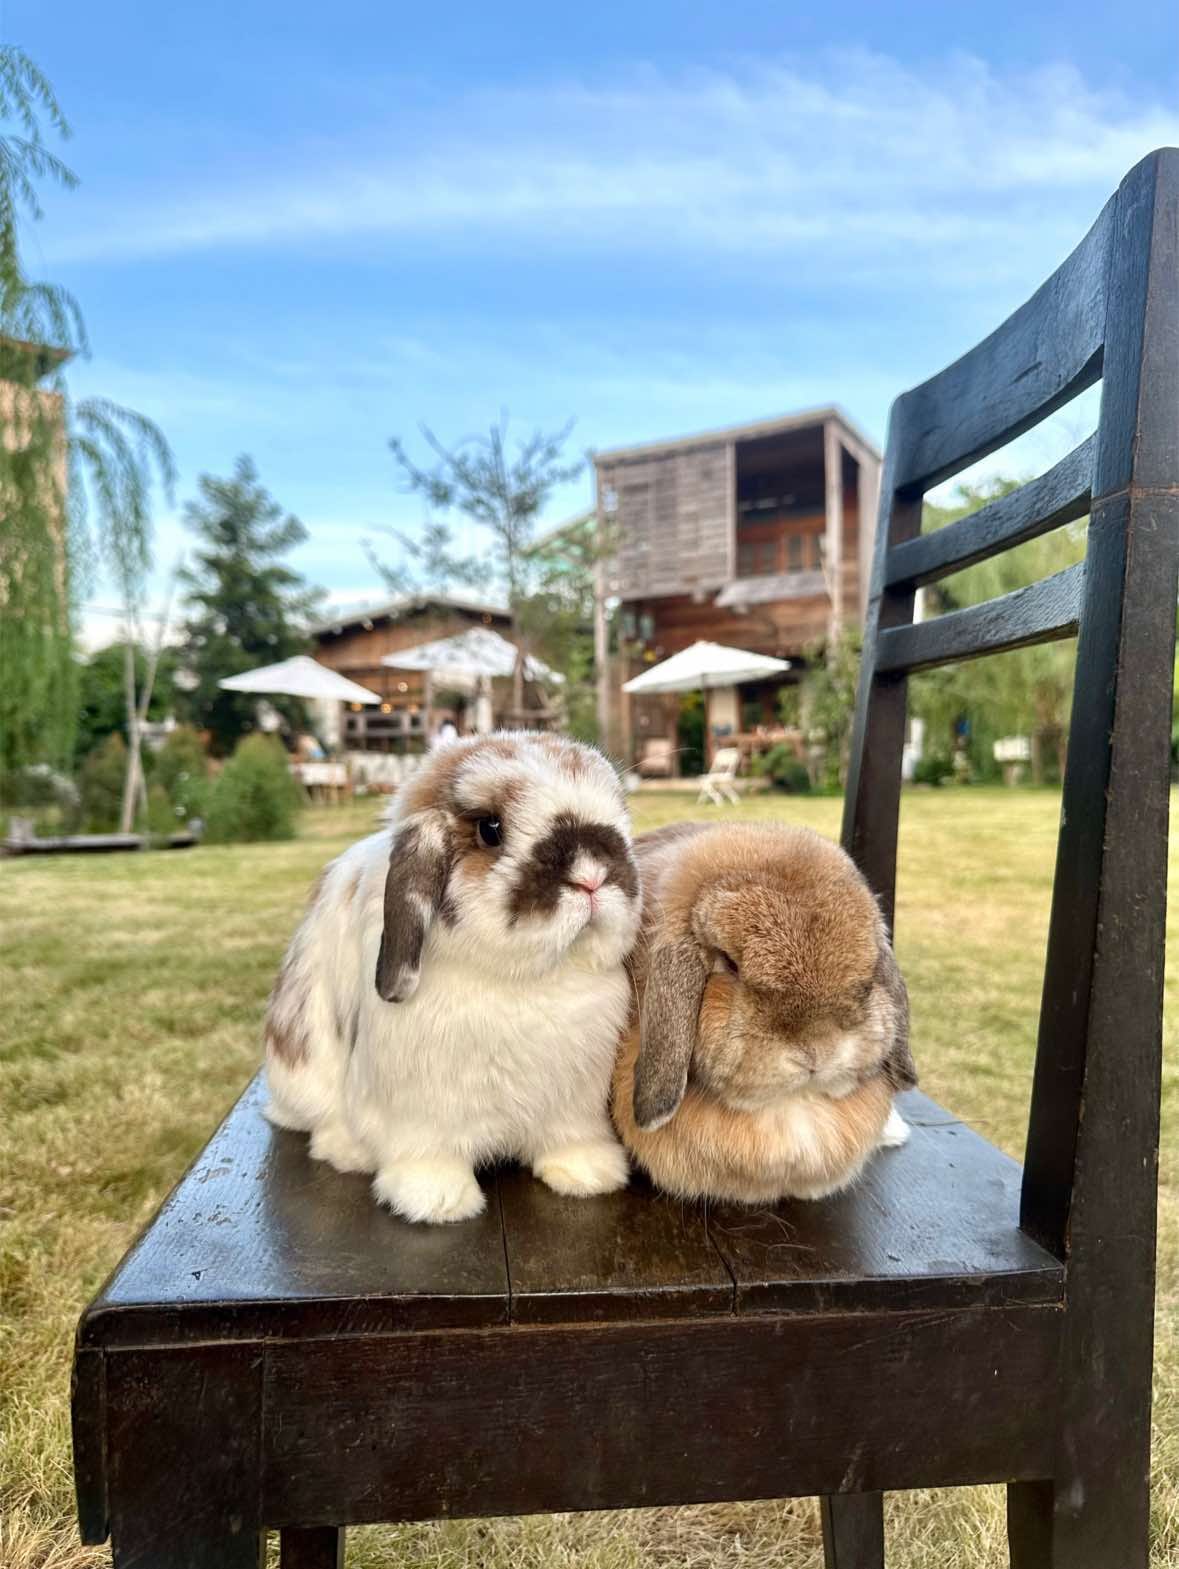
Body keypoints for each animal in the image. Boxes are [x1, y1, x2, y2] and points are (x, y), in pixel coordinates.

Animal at [264, 732, 642, 1223]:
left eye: (618, 811)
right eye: (490, 829)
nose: (592, 875)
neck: (524, 981)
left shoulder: (573, 1103)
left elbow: (568, 1138)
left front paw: (588, 1174)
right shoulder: (419, 1113)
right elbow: (427, 1154)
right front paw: (436, 1200)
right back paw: (346, 1150)